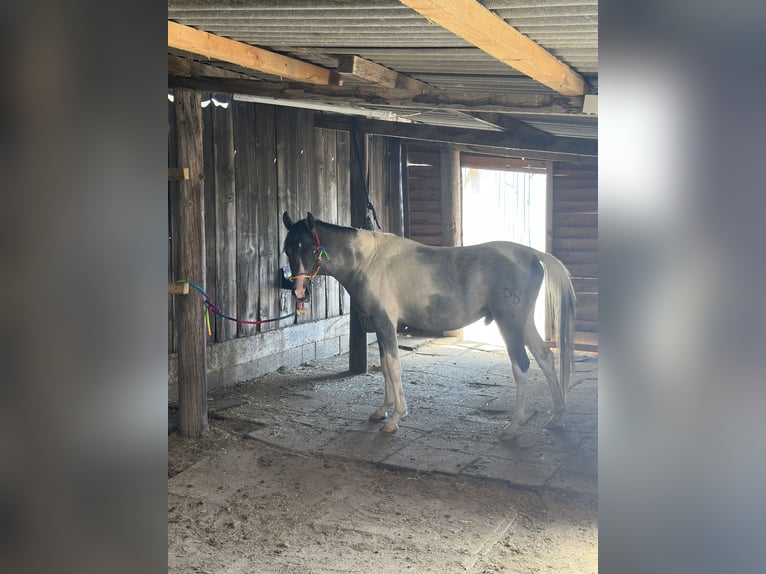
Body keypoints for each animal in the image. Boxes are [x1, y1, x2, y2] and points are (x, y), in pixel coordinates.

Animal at [282, 211, 575, 441]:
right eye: (287, 249)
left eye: (311, 248)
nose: (299, 291)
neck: (369, 261)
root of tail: (532, 254)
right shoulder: (379, 325)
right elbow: (385, 366)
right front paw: (382, 410)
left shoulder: (386, 322)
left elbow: (394, 367)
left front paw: (395, 419)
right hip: (524, 322)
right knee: (545, 357)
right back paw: (557, 415)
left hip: (510, 324)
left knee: (522, 366)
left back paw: (513, 427)